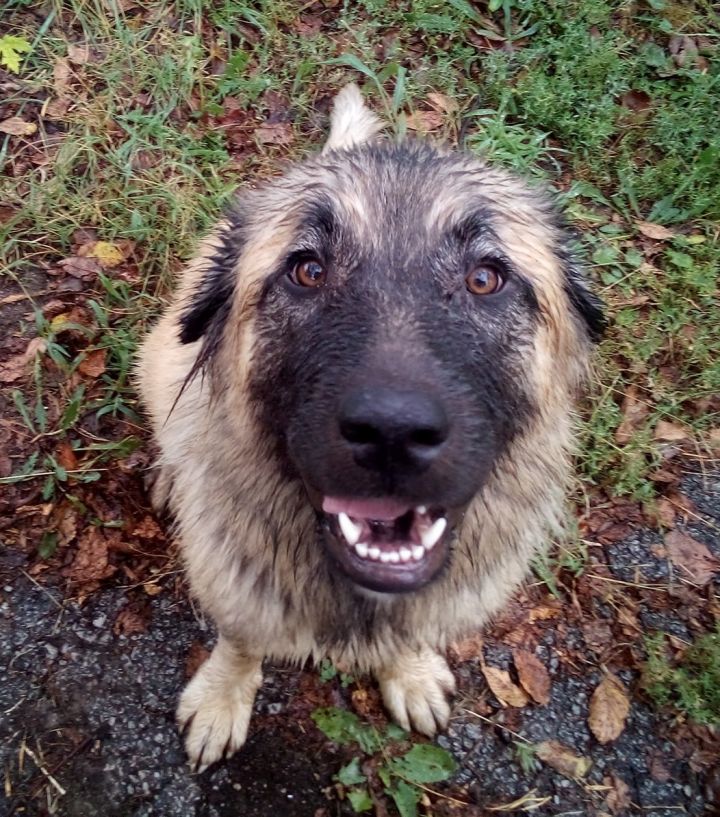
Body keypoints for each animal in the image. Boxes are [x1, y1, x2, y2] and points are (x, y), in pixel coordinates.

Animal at [136, 84, 604, 771]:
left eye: (484, 278)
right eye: (307, 270)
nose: (392, 432)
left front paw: (408, 674)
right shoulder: (239, 591)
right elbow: (242, 641)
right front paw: (223, 697)